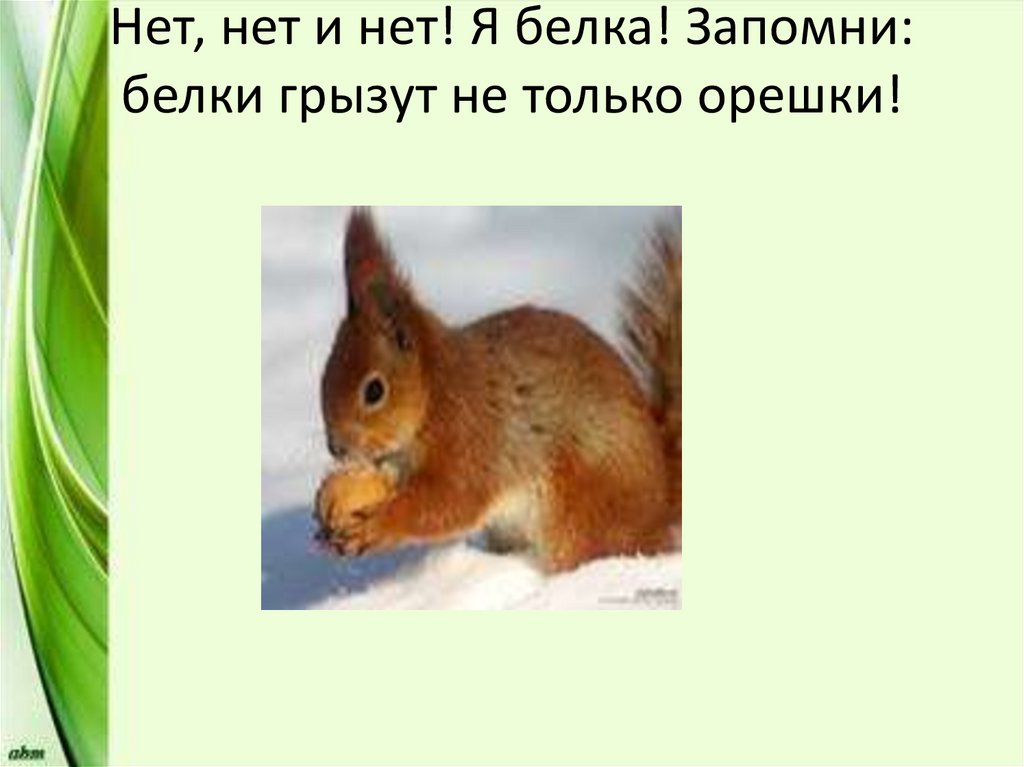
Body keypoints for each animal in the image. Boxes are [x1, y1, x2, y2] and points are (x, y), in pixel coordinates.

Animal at [314, 209, 680, 573]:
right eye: (323, 377)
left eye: (374, 391)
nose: (336, 448)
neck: (434, 393)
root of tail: (662, 506)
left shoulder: (469, 435)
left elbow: (449, 500)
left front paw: (380, 525)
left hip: (582, 509)